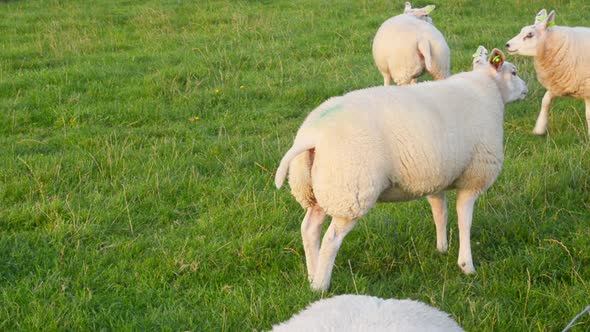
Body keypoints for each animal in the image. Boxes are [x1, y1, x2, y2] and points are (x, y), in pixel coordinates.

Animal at [278, 48, 532, 292]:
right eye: (514, 72)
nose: (527, 89)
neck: (488, 89)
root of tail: (311, 135)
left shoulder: (435, 177)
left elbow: (440, 213)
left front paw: (442, 248)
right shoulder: (474, 177)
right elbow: (464, 220)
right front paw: (466, 265)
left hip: (319, 189)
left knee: (309, 229)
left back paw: (312, 276)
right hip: (350, 191)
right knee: (331, 239)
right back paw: (321, 286)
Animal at [506, 9, 590, 137]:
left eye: (530, 34)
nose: (507, 45)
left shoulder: (586, 88)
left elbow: (588, 115)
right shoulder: (558, 83)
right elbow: (545, 101)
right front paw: (539, 128)